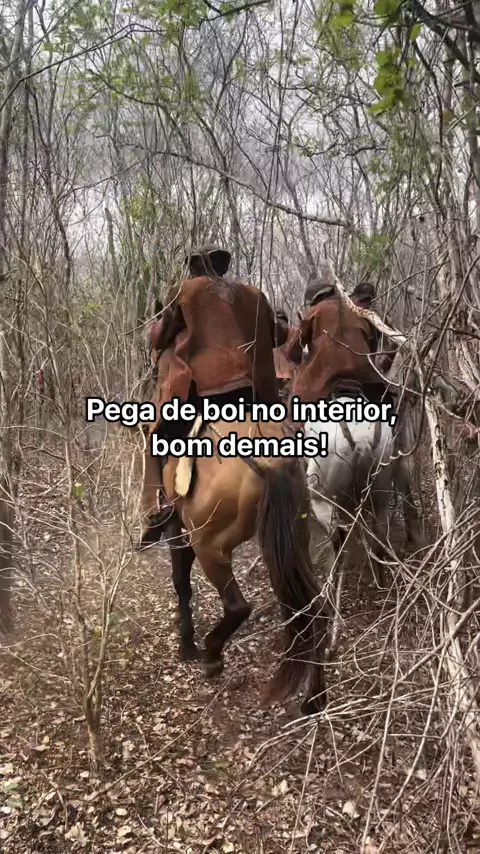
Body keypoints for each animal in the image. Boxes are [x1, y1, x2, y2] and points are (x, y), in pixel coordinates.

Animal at [132, 414, 329, 717]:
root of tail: (269, 463)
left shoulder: (178, 529)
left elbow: (181, 582)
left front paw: (187, 645)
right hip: (293, 540)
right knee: (314, 606)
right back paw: (314, 699)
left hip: (210, 547)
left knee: (237, 607)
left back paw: (212, 655)